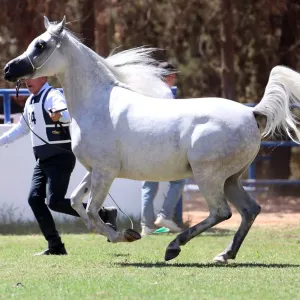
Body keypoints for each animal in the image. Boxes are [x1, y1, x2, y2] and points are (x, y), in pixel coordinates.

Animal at [4, 16, 300, 262]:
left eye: (40, 45)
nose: (8, 70)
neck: (97, 104)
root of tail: (252, 113)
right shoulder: (96, 170)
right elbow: (78, 202)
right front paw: (115, 228)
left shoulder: (105, 171)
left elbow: (90, 209)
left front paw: (124, 235)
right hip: (231, 179)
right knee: (250, 210)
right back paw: (224, 254)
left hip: (209, 175)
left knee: (221, 212)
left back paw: (174, 247)